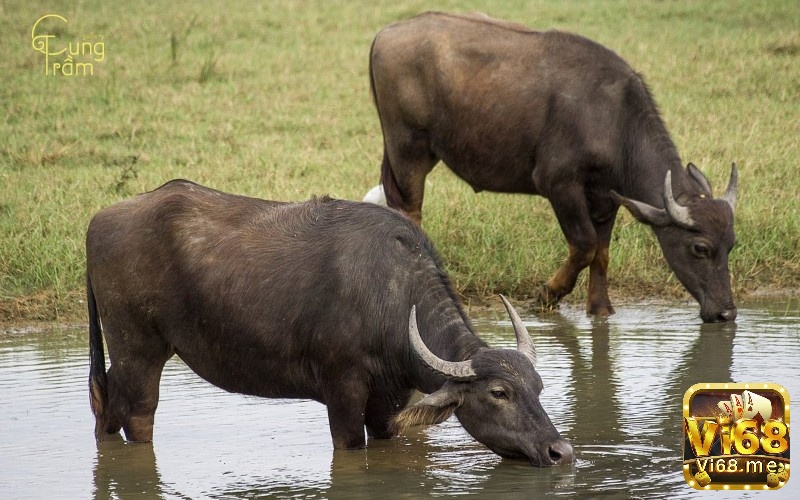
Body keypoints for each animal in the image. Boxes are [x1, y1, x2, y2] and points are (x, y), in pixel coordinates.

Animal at [86, 182, 576, 466]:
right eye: (499, 393)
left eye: (538, 388)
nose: (561, 451)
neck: (391, 297)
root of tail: (100, 220)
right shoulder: (342, 393)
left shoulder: (389, 402)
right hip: (139, 351)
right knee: (137, 416)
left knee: (105, 405)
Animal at [368, 13, 736, 324]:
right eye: (700, 248)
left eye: (731, 245)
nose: (726, 313)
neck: (617, 121)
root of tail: (386, 33)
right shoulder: (559, 185)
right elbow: (585, 245)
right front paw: (547, 295)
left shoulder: (607, 198)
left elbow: (602, 253)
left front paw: (600, 309)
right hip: (408, 149)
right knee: (410, 212)